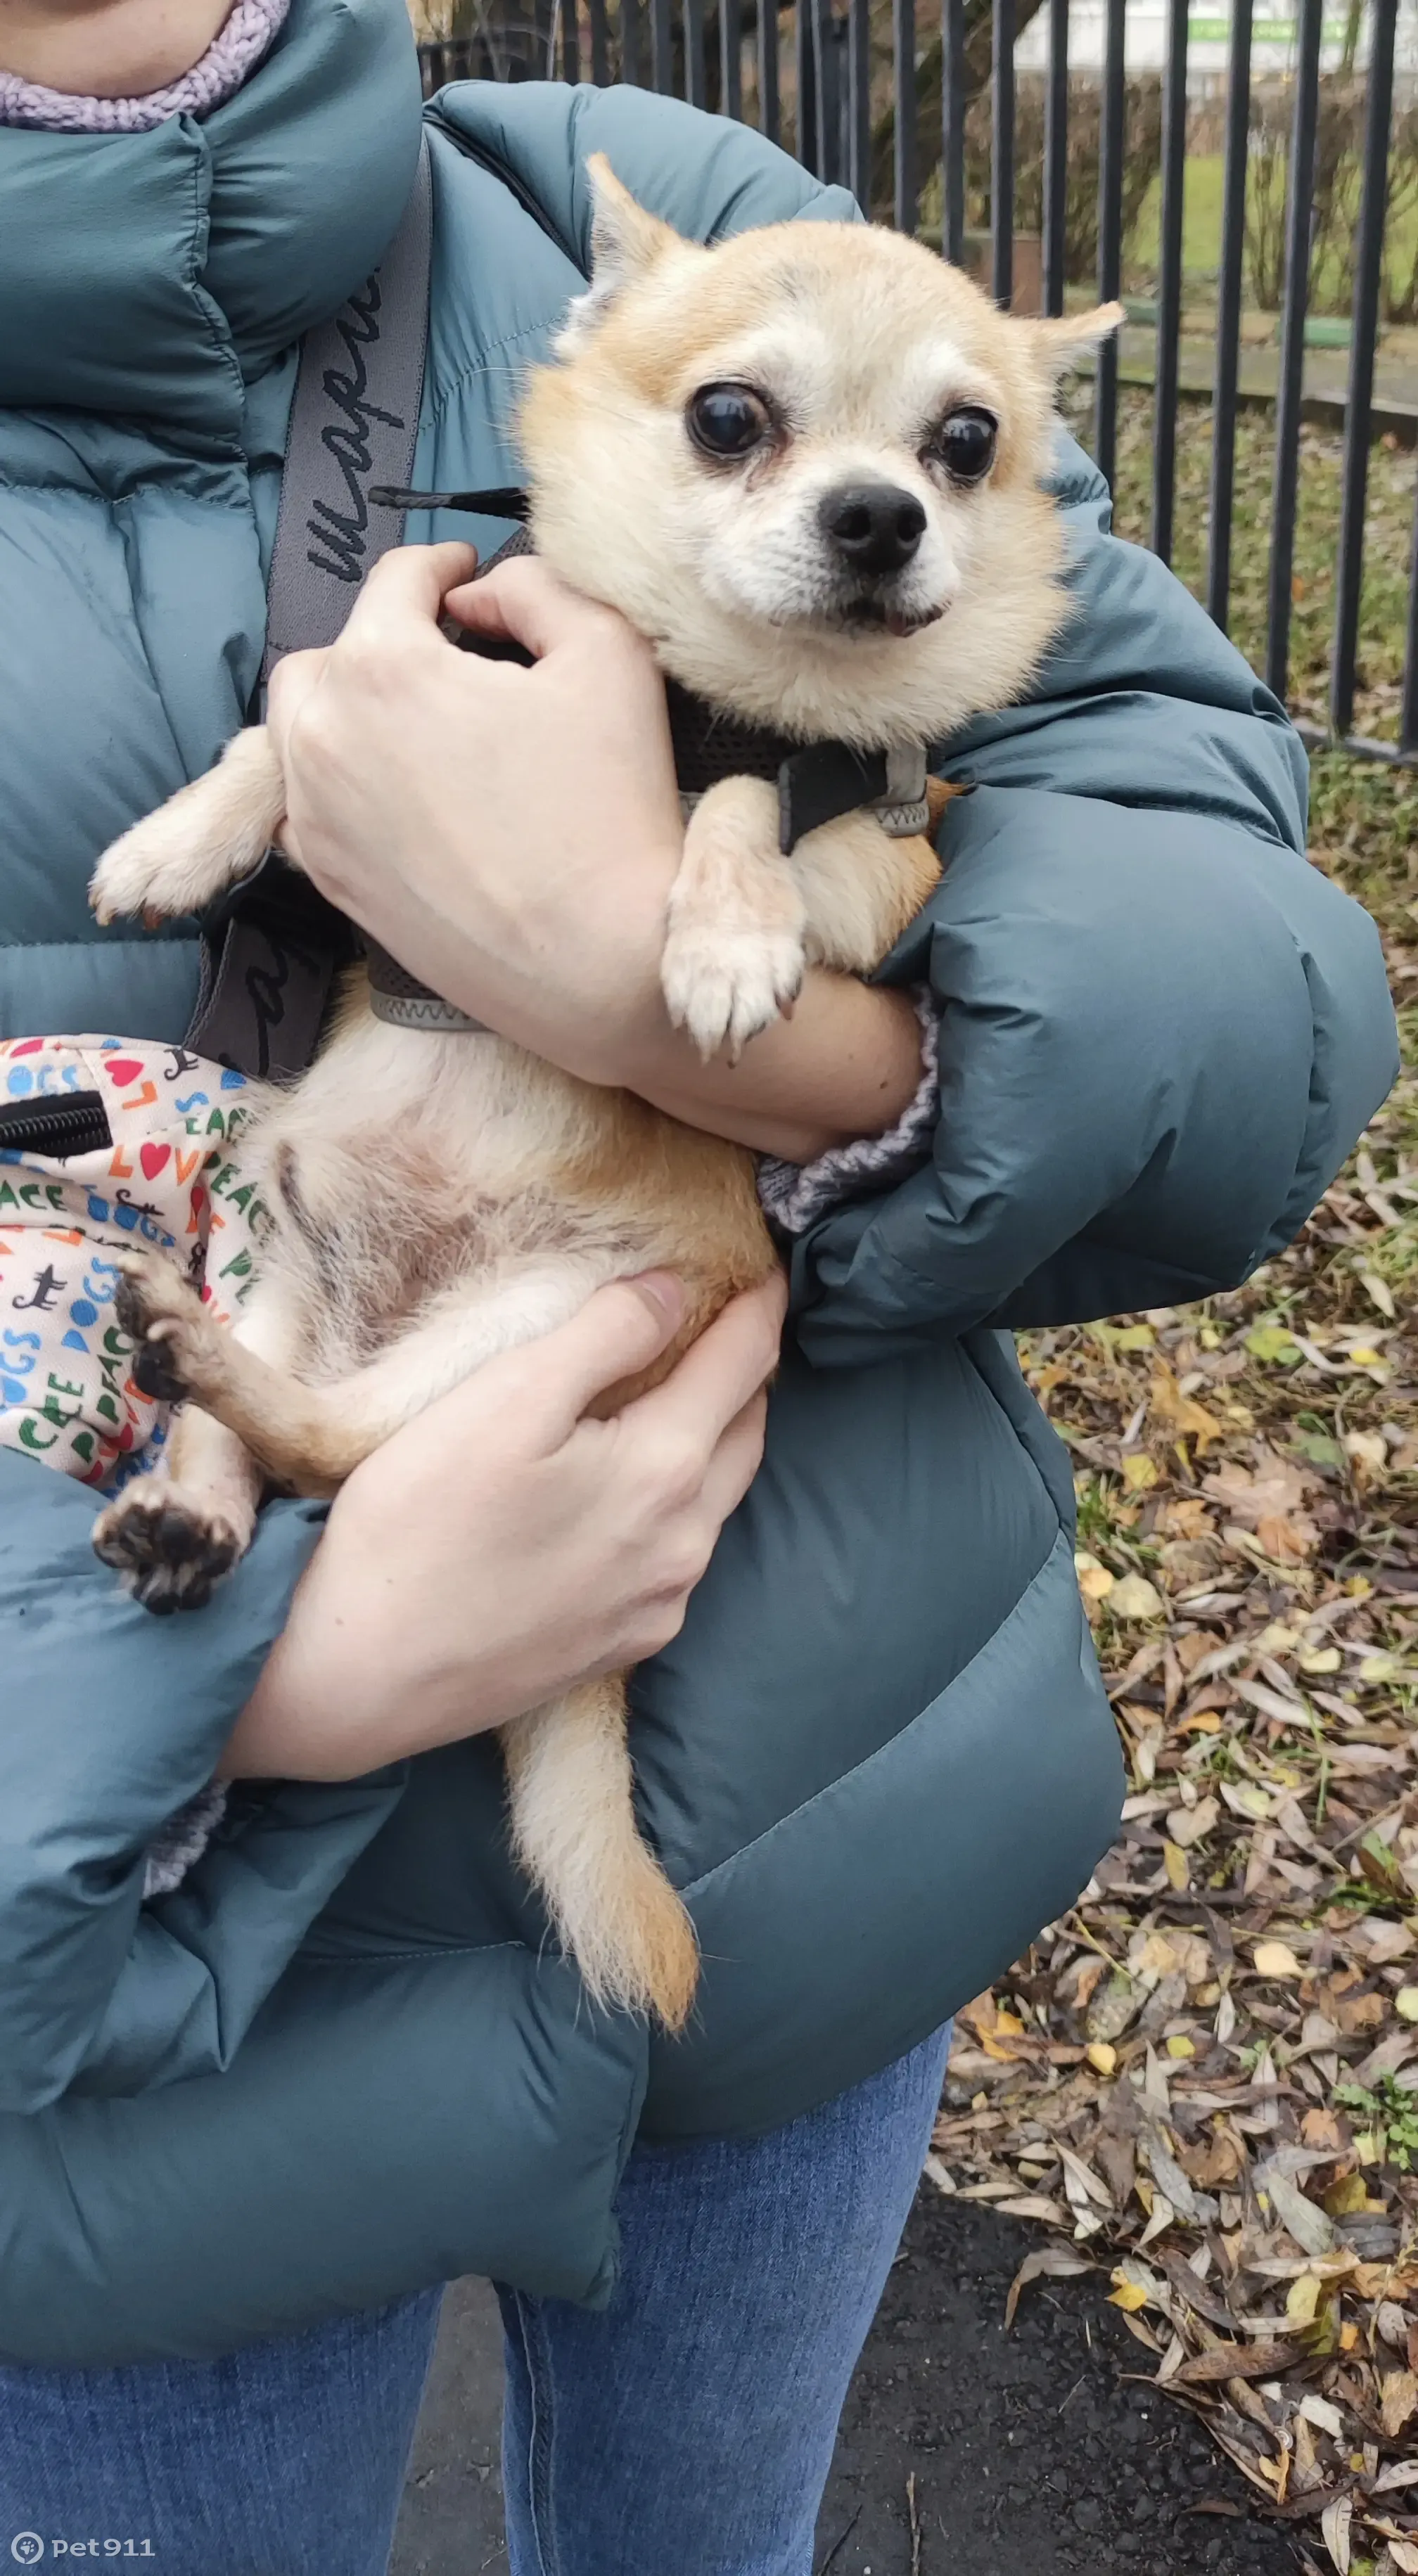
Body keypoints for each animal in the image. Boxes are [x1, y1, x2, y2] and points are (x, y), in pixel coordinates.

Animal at [86, 160, 1124, 2030]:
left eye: (964, 443)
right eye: (729, 418)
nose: (882, 517)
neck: (707, 687)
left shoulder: (877, 858)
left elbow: (741, 805)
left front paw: (720, 931)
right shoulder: (428, 654)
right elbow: (284, 731)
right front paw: (181, 840)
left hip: (534, 1334)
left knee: (343, 1453)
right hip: (276, 1262)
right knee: (265, 1445)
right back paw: (191, 1497)